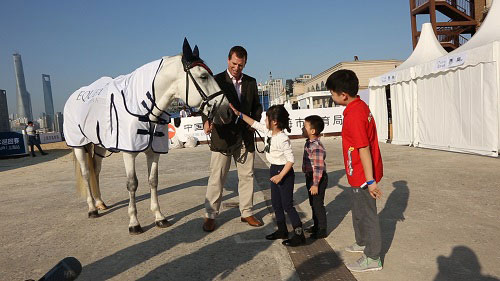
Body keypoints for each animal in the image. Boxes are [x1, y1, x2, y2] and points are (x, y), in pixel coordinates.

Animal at [63, 38, 231, 233]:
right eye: (203, 76)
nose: (227, 110)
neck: (143, 108)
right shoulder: (129, 153)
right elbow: (132, 184)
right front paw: (134, 222)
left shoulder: (154, 152)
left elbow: (153, 181)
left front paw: (159, 217)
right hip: (79, 145)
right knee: (85, 173)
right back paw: (92, 208)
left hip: (99, 145)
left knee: (95, 170)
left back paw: (100, 202)